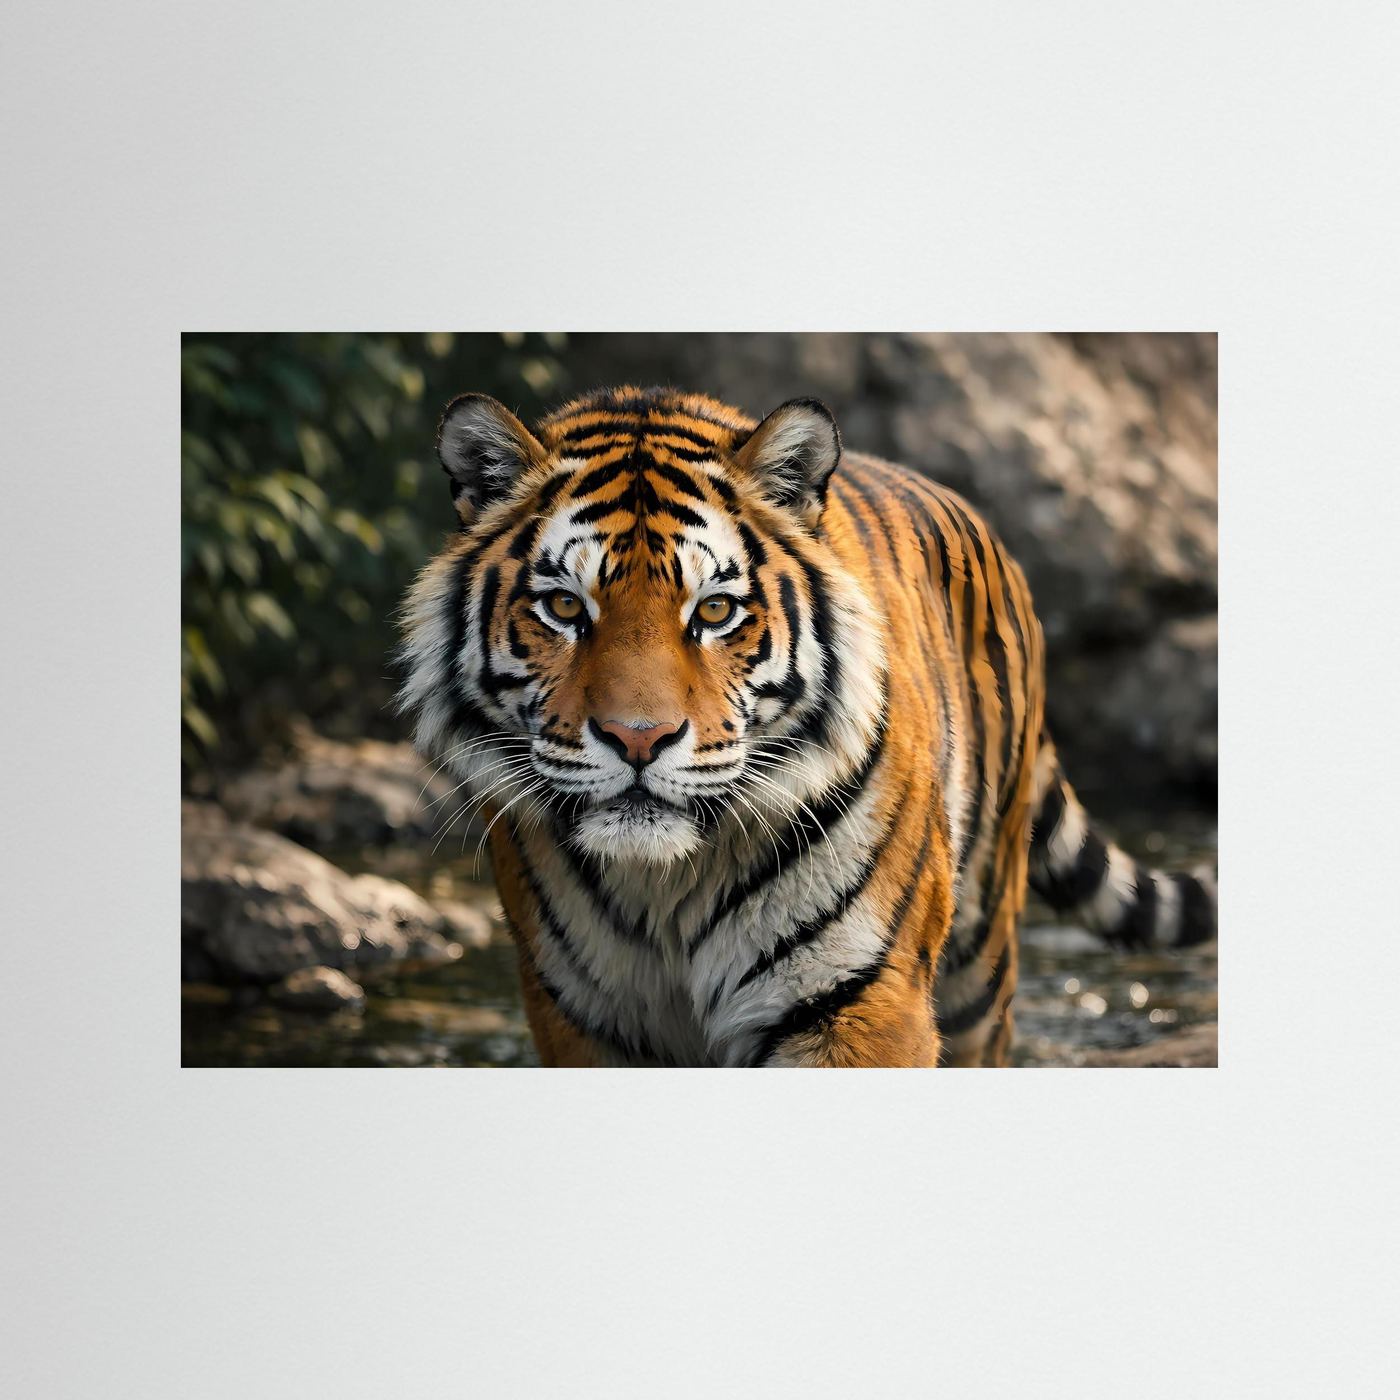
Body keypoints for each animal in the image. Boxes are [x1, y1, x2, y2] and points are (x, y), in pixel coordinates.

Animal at [397, 384, 1216, 1067]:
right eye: (565, 607)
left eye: (714, 611)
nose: (637, 739)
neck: (665, 886)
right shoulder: (578, 1014)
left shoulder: (858, 1000)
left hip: (982, 964)